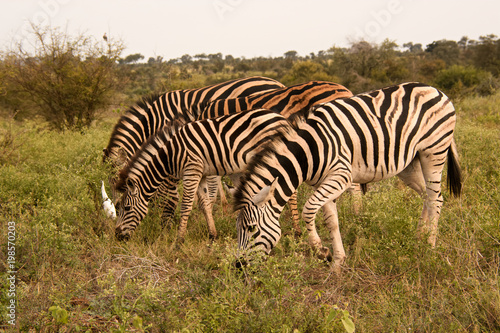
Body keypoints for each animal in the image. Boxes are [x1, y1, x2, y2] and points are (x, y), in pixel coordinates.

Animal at [113, 109, 292, 241]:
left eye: (126, 208)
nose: (117, 236)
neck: (170, 156)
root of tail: (281, 118)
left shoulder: (191, 170)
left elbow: (186, 206)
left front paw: (179, 240)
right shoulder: (202, 174)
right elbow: (205, 204)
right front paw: (212, 235)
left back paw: (294, 229)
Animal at [233, 82, 460, 270]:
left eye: (251, 229)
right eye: (238, 229)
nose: (238, 266)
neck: (308, 152)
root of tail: (435, 90)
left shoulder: (341, 176)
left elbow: (308, 210)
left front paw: (321, 251)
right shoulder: (321, 183)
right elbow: (331, 220)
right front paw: (337, 263)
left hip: (434, 151)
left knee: (435, 198)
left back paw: (430, 245)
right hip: (409, 164)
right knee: (427, 196)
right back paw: (419, 236)